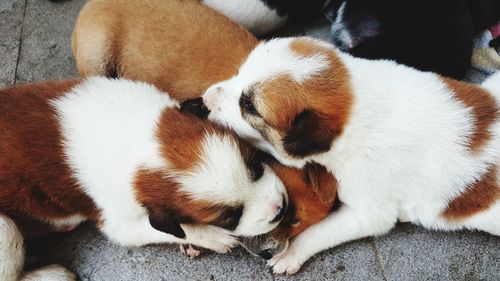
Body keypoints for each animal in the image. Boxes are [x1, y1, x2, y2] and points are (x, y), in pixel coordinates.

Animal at [0, 77, 290, 280]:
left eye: (256, 166)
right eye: (229, 217)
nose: (281, 208)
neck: (134, 139)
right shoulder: (120, 220)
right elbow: (164, 229)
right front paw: (211, 235)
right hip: (6, 228)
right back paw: (51, 274)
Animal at [197, 36, 498, 272]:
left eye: (249, 106)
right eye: (238, 73)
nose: (204, 100)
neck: (359, 104)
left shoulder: (371, 212)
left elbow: (321, 230)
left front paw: (292, 252)